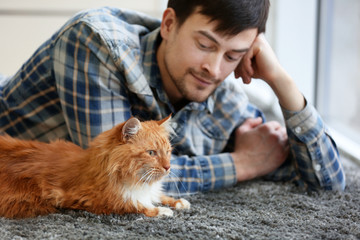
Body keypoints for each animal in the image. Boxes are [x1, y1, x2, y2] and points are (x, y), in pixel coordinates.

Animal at [0, 115, 190, 218]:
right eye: (151, 153)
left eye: (168, 152)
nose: (168, 167)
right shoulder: (92, 198)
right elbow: (138, 206)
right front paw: (163, 211)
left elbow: (161, 196)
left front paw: (179, 202)